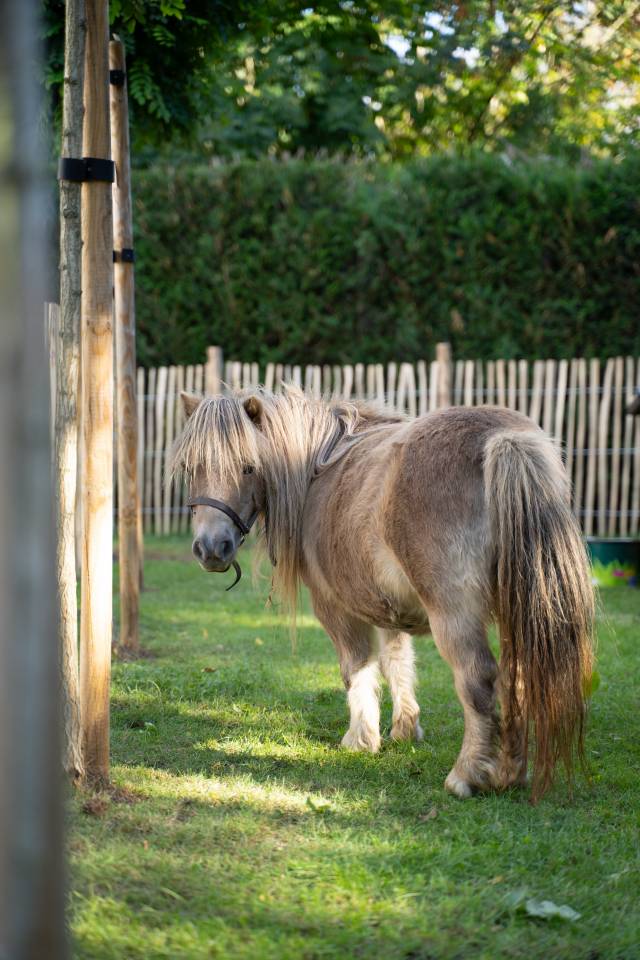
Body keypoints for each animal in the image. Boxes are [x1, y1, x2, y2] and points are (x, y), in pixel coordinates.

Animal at [171, 387, 594, 801]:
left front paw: (361, 738)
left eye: (248, 466)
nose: (211, 549)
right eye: (191, 468)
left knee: (478, 678)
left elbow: (356, 667)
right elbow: (397, 662)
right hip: (516, 610)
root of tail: (504, 439)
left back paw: (467, 775)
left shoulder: (335, 608)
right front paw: (405, 728)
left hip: (454, 614)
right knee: (516, 678)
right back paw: (510, 772)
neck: (314, 471)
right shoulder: (388, 607)